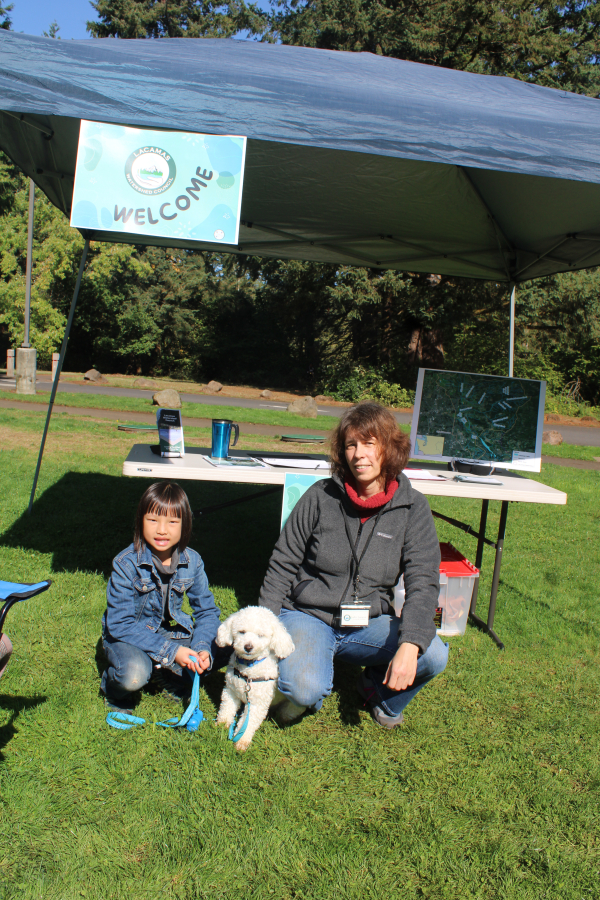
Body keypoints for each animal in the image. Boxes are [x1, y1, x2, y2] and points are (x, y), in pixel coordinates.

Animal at [216, 604, 296, 752]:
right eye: (242, 632)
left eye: (260, 635)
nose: (248, 647)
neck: (249, 670)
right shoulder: (231, 691)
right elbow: (227, 707)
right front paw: (223, 723)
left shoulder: (256, 704)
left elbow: (247, 723)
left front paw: (241, 740)